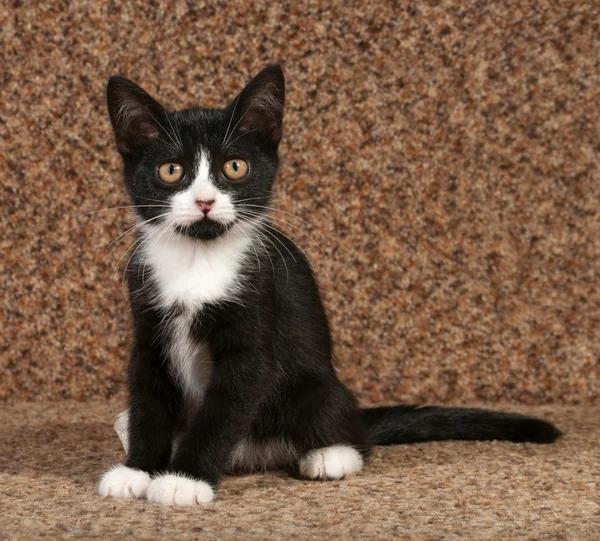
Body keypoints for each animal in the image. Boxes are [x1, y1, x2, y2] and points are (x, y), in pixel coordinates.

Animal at [96, 65, 560, 504]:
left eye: (235, 167)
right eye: (171, 170)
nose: (205, 201)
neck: (197, 259)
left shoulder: (257, 318)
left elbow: (223, 409)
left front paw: (183, 479)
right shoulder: (148, 325)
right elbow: (148, 401)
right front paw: (137, 471)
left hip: (316, 386)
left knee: (350, 431)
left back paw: (329, 455)